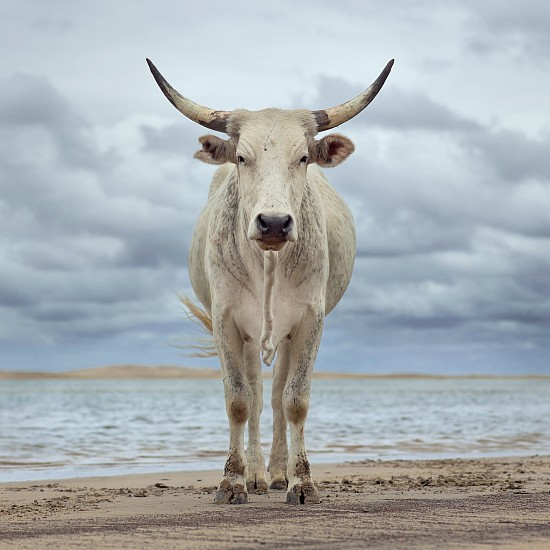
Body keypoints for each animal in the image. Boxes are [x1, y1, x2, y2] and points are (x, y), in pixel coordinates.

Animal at [147, 59, 392, 504]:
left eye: (303, 157)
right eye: (242, 157)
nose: (274, 223)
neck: (268, 262)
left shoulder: (310, 322)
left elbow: (295, 400)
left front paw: (302, 482)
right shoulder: (226, 322)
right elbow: (239, 400)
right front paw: (232, 481)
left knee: (277, 398)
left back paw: (278, 473)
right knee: (259, 397)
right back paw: (258, 475)